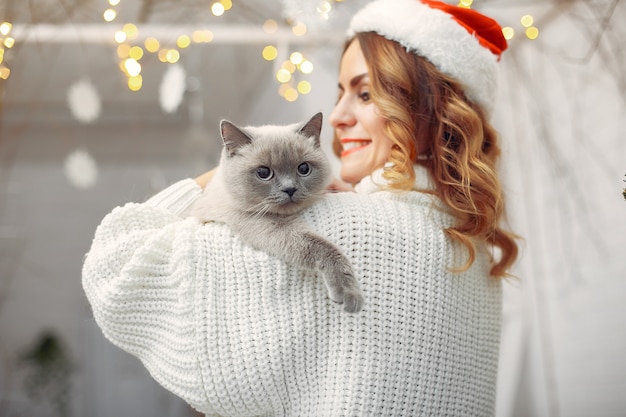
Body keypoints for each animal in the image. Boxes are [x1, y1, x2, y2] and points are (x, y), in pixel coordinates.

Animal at [193, 112, 364, 314]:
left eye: (304, 169)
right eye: (263, 172)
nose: (289, 189)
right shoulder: (260, 222)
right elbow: (321, 247)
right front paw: (350, 294)